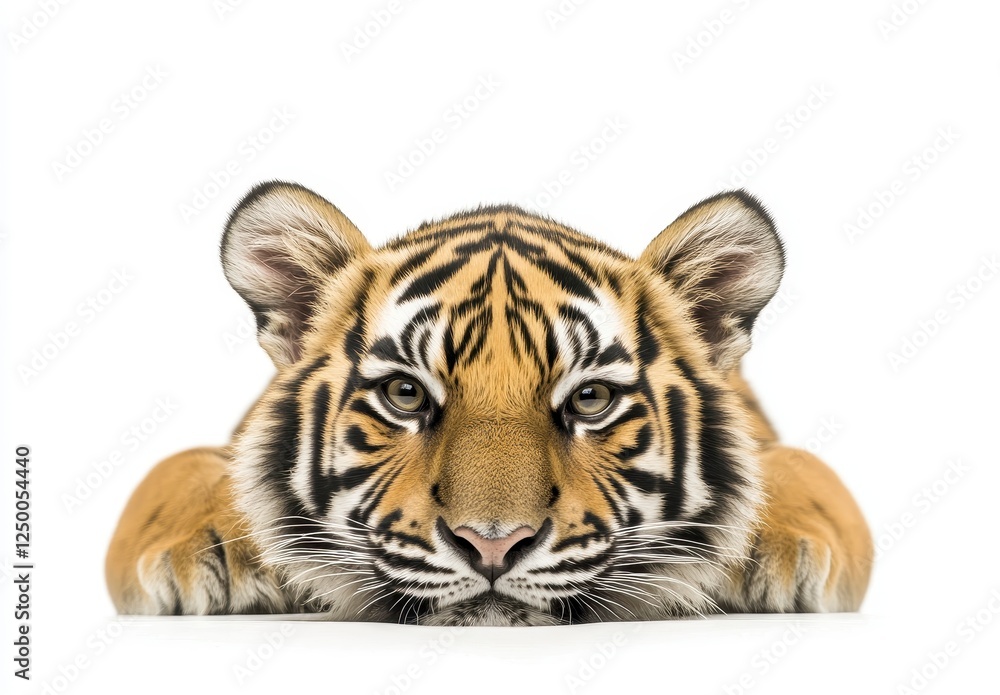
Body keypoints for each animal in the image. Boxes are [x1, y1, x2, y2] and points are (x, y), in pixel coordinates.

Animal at [105, 182, 873, 626]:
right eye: (405, 393)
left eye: (591, 398)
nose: (493, 544)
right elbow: (181, 462)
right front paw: (201, 549)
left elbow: (800, 464)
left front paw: (785, 549)